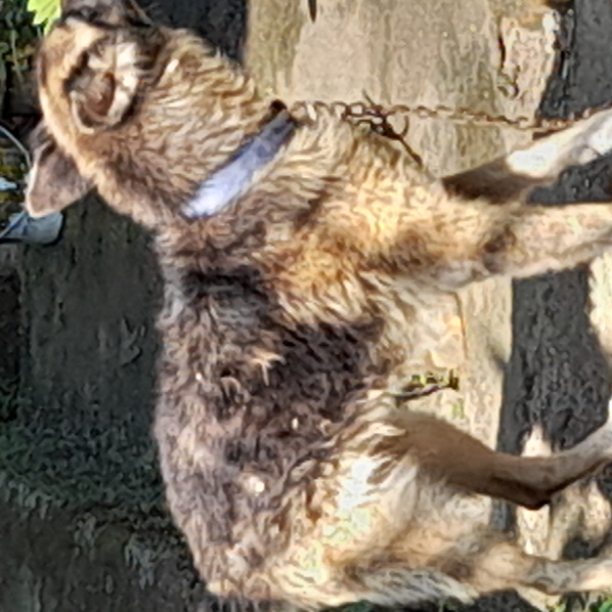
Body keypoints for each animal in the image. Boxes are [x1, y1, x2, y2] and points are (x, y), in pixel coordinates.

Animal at [24, 0, 612, 607]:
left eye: (81, 16)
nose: (67, 9)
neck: (225, 176)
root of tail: (244, 584)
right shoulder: (472, 238)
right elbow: (589, 216)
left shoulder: (445, 198)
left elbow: (537, 153)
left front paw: (600, 127)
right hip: (430, 535)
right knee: (543, 566)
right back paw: (602, 566)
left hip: (411, 432)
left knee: (531, 483)